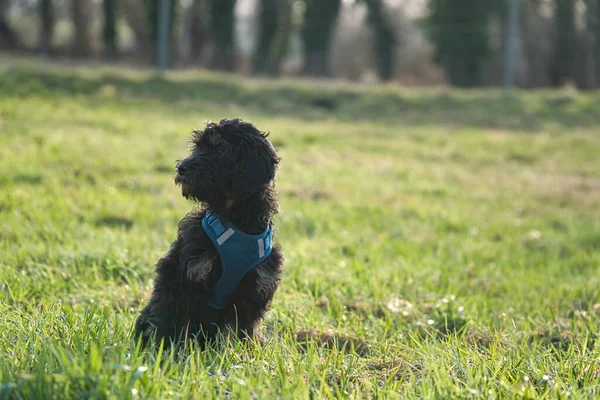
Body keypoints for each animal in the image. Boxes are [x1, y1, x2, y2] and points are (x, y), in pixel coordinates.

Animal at [135, 118, 284, 346]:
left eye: (220, 150)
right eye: (197, 147)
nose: (181, 167)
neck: (236, 222)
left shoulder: (257, 285)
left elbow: (244, 329)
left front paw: (247, 351)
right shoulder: (186, 277)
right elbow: (175, 320)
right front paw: (172, 349)